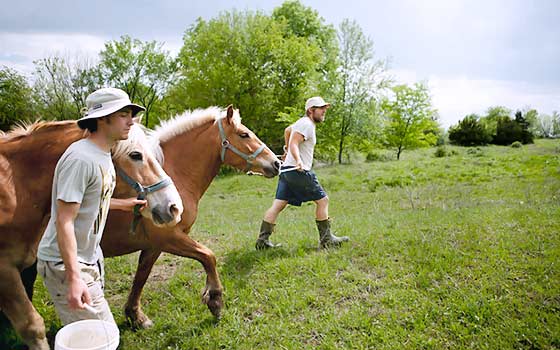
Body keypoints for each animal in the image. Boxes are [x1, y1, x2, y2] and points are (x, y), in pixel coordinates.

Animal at [99, 105, 280, 330]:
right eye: (244, 134)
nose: (277, 163)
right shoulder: (169, 238)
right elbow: (208, 256)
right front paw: (215, 300)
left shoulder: (154, 245)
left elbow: (141, 276)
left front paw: (136, 316)